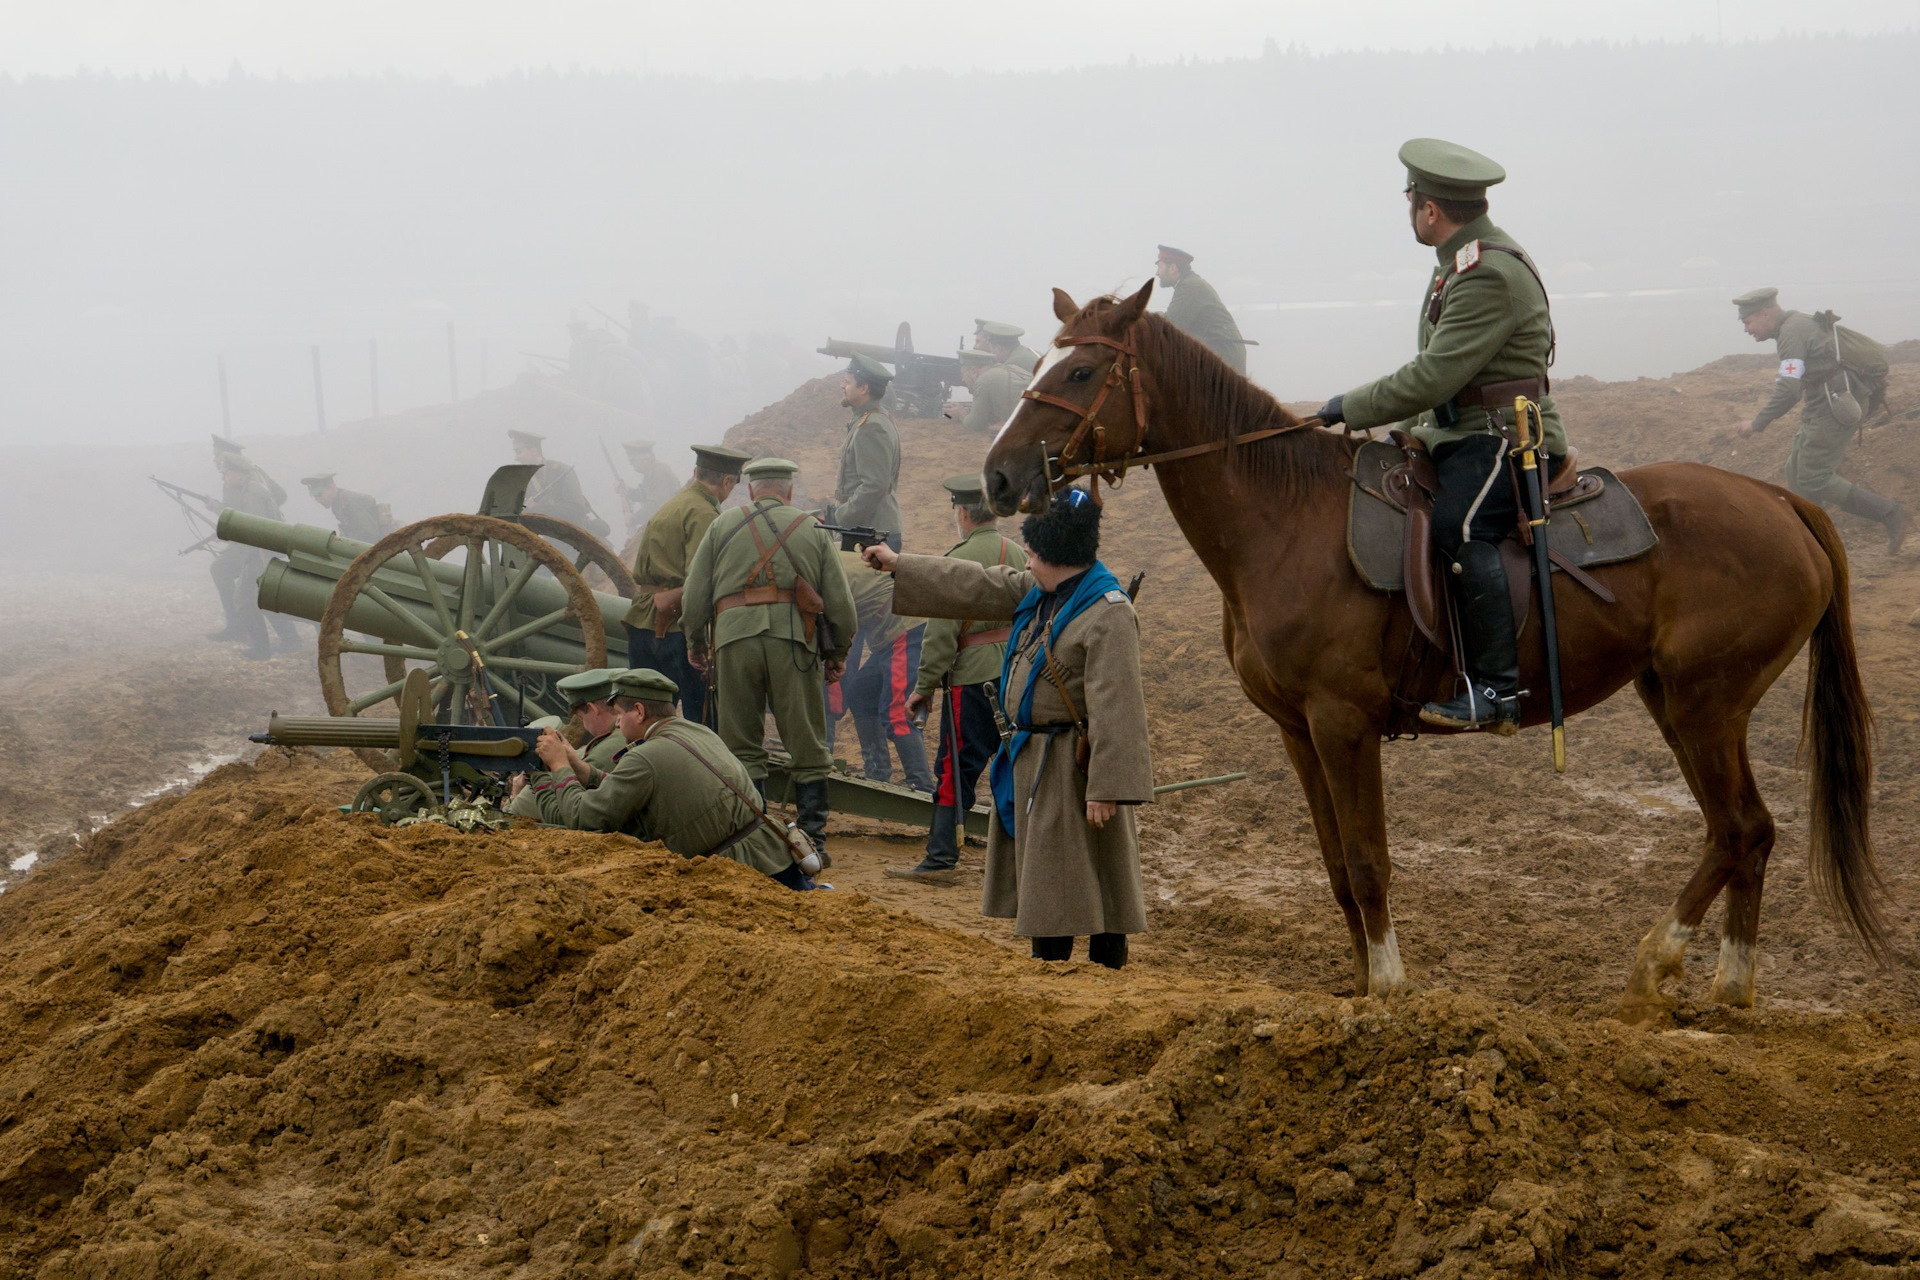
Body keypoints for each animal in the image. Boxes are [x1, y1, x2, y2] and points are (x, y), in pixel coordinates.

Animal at [983, 282, 1881, 1020]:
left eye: (1078, 373)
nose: (996, 477)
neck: (1286, 519)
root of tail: (1778, 499)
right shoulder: (1297, 732)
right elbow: (1336, 867)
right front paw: (1357, 983)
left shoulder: (1343, 724)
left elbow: (1368, 862)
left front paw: (1387, 988)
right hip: (1677, 704)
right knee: (1747, 833)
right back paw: (1731, 985)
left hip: (1705, 708)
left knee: (1737, 831)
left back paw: (1654, 969)